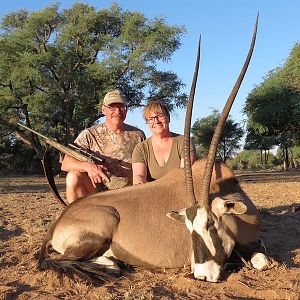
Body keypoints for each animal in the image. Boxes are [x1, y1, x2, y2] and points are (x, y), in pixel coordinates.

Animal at [38, 15, 264, 282]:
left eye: (210, 223)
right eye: (189, 228)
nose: (201, 275)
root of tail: (60, 221)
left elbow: (261, 261)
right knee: (60, 258)